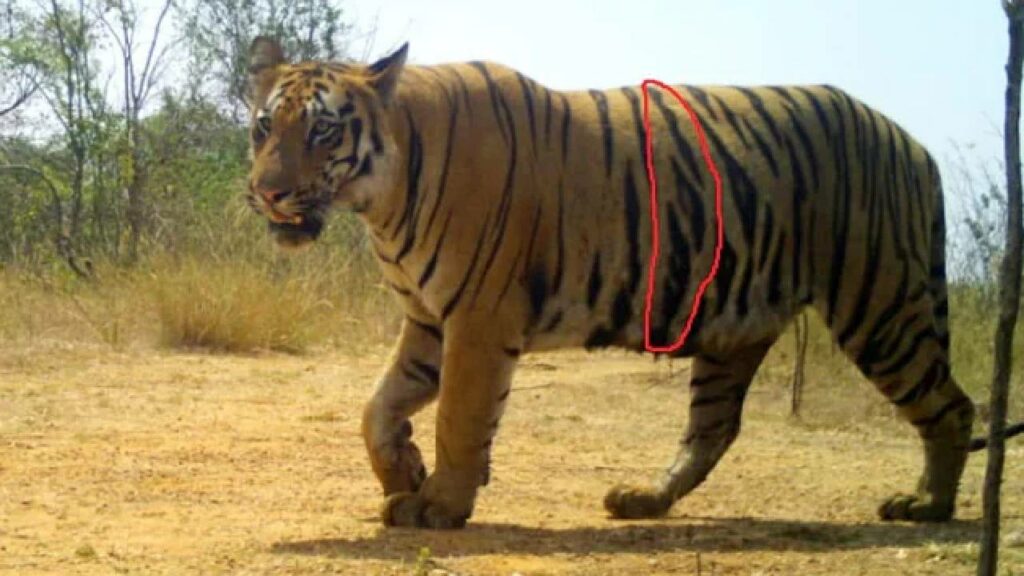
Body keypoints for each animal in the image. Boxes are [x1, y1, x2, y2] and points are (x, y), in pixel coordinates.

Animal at [244, 36, 1015, 529]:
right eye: (262, 128)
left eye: (322, 132)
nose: (268, 194)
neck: (382, 197)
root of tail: (914, 143)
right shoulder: (431, 320)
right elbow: (376, 409)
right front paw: (402, 472)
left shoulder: (477, 319)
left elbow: (459, 419)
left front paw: (439, 504)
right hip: (735, 326)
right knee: (713, 429)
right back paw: (644, 499)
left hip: (880, 303)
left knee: (951, 406)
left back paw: (928, 507)